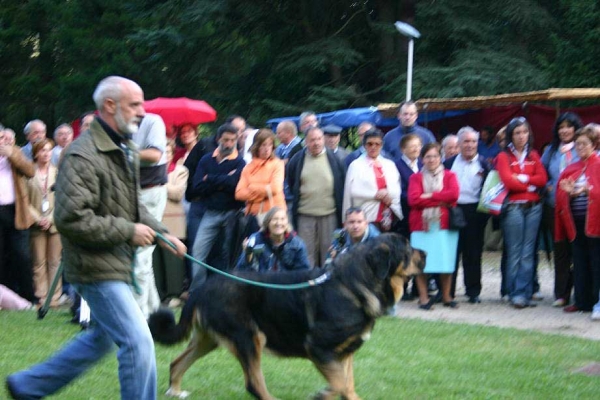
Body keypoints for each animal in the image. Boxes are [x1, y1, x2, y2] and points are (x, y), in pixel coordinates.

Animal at [148, 233, 424, 398]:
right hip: (250, 337)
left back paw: (175, 391)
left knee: (177, 363)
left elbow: (348, 386)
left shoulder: (345, 354)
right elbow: (338, 384)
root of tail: (200, 289)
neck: (355, 285)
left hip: (208, 339)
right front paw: (324, 394)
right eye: (408, 249)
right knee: (254, 383)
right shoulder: (319, 347)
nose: (426, 254)